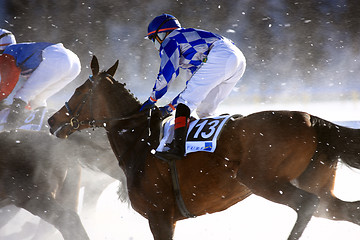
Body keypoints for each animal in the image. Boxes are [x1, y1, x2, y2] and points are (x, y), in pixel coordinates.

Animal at [47, 55, 360, 239]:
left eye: (78, 91)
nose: (52, 120)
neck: (140, 140)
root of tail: (311, 119)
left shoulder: (159, 217)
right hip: (317, 184)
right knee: (345, 210)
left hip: (263, 180)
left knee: (307, 204)